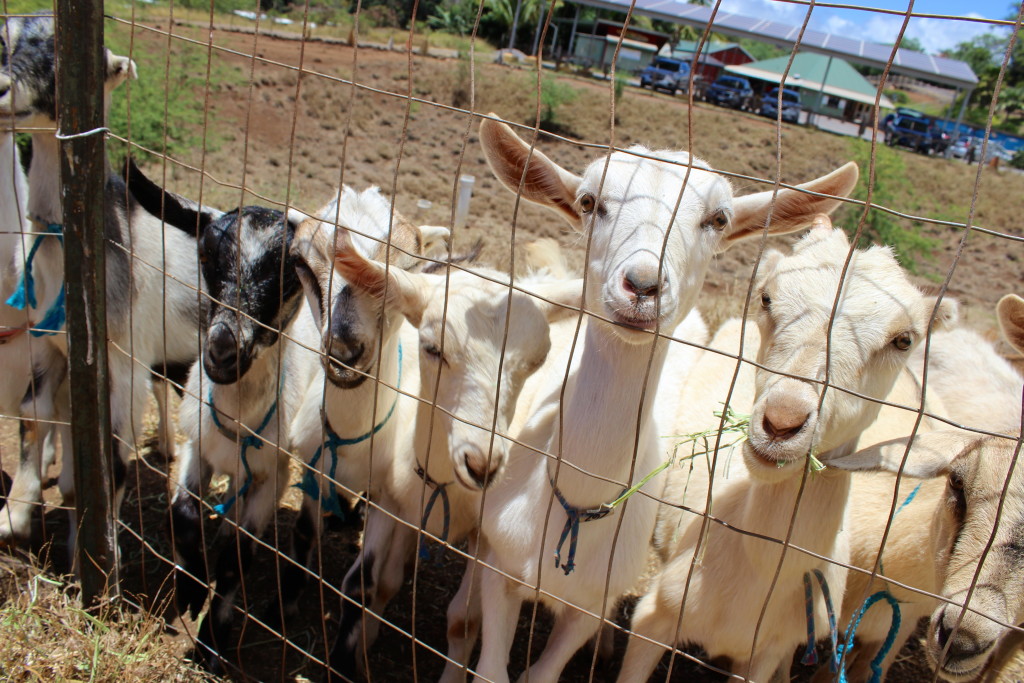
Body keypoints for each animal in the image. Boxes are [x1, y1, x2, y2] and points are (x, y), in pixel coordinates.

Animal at [466, 114, 856, 679]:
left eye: (718, 218)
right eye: (589, 201)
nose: (643, 285)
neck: (574, 510)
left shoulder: (592, 604)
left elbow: (546, 670)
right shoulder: (501, 566)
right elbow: (491, 668)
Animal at [614, 225, 958, 683]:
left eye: (904, 340)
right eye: (766, 298)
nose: (781, 423)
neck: (759, 571)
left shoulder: (767, 651)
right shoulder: (653, 617)